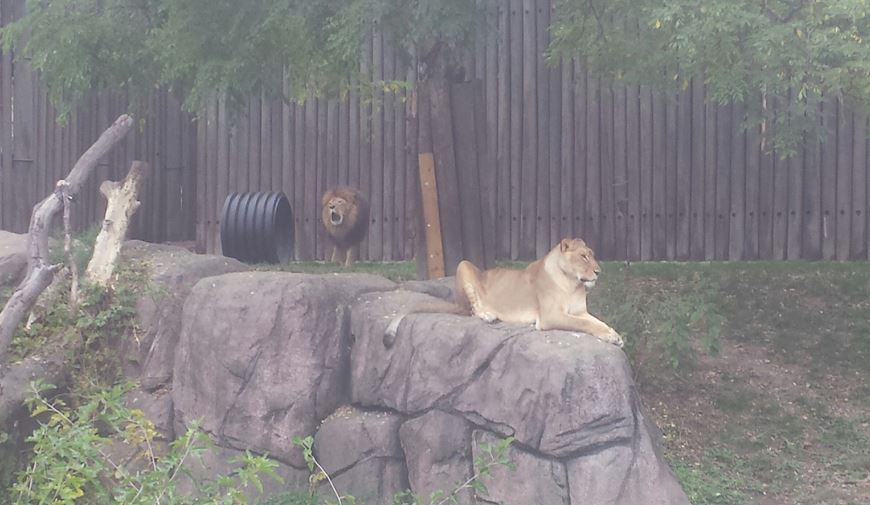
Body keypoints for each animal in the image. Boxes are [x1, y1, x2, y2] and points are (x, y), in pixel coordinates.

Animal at [385, 238, 623, 347]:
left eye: (592, 255)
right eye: (584, 256)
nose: (598, 271)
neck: (573, 284)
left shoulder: (580, 311)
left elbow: (596, 322)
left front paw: (615, 335)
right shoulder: (550, 316)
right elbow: (583, 324)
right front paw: (611, 336)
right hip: (464, 265)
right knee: (471, 309)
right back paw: (488, 315)